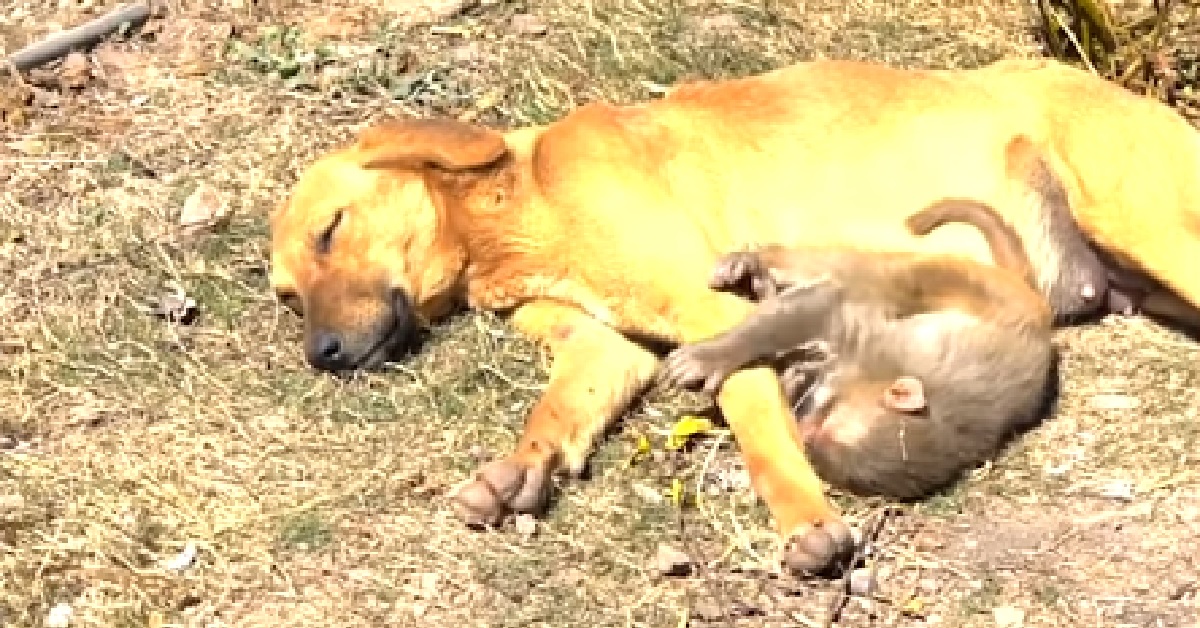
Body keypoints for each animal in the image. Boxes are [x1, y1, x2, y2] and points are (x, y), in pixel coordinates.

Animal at [657, 199, 1060, 504]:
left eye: (818, 435)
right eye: (827, 418)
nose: (801, 421)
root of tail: (1029, 292)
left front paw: (791, 378)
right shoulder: (881, 342)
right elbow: (820, 307)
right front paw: (712, 355)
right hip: (939, 275)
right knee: (864, 274)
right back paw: (756, 261)